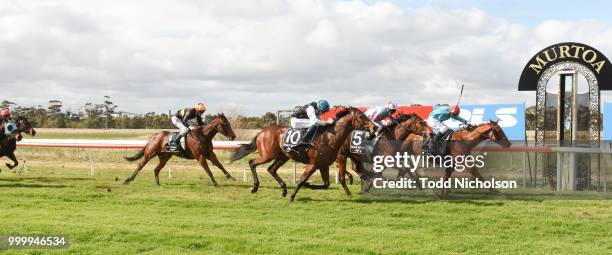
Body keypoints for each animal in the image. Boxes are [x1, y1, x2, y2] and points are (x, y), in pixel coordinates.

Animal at [230, 107, 372, 201]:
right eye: (361, 117)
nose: (373, 127)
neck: (330, 137)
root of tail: (261, 132)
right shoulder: (314, 164)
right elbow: (302, 180)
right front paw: (293, 196)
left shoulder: (323, 165)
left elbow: (326, 184)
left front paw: (309, 186)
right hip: (267, 155)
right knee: (252, 163)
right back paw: (255, 187)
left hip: (283, 157)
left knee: (271, 169)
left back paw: (283, 189)